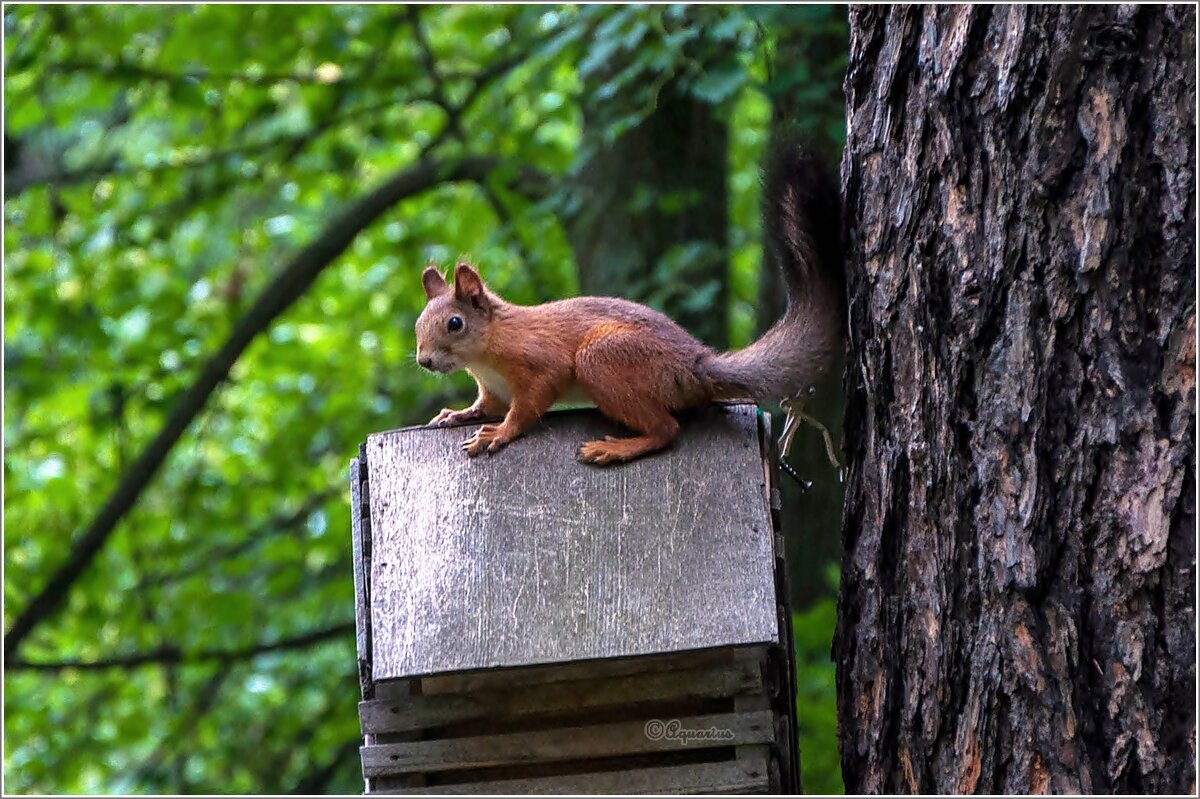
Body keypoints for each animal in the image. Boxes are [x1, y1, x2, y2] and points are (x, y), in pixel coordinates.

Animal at [412, 136, 844, 460]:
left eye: (455, 323)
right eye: (419, 325)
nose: (424, 361)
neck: (485, 355)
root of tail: (695, 366)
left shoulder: (538, 361)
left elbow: (530, 404)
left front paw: (499, 433)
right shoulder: (493, 389)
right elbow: (486, 406)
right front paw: (456, 414)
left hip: (603, 358)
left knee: (667, 428)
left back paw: (617, 449)